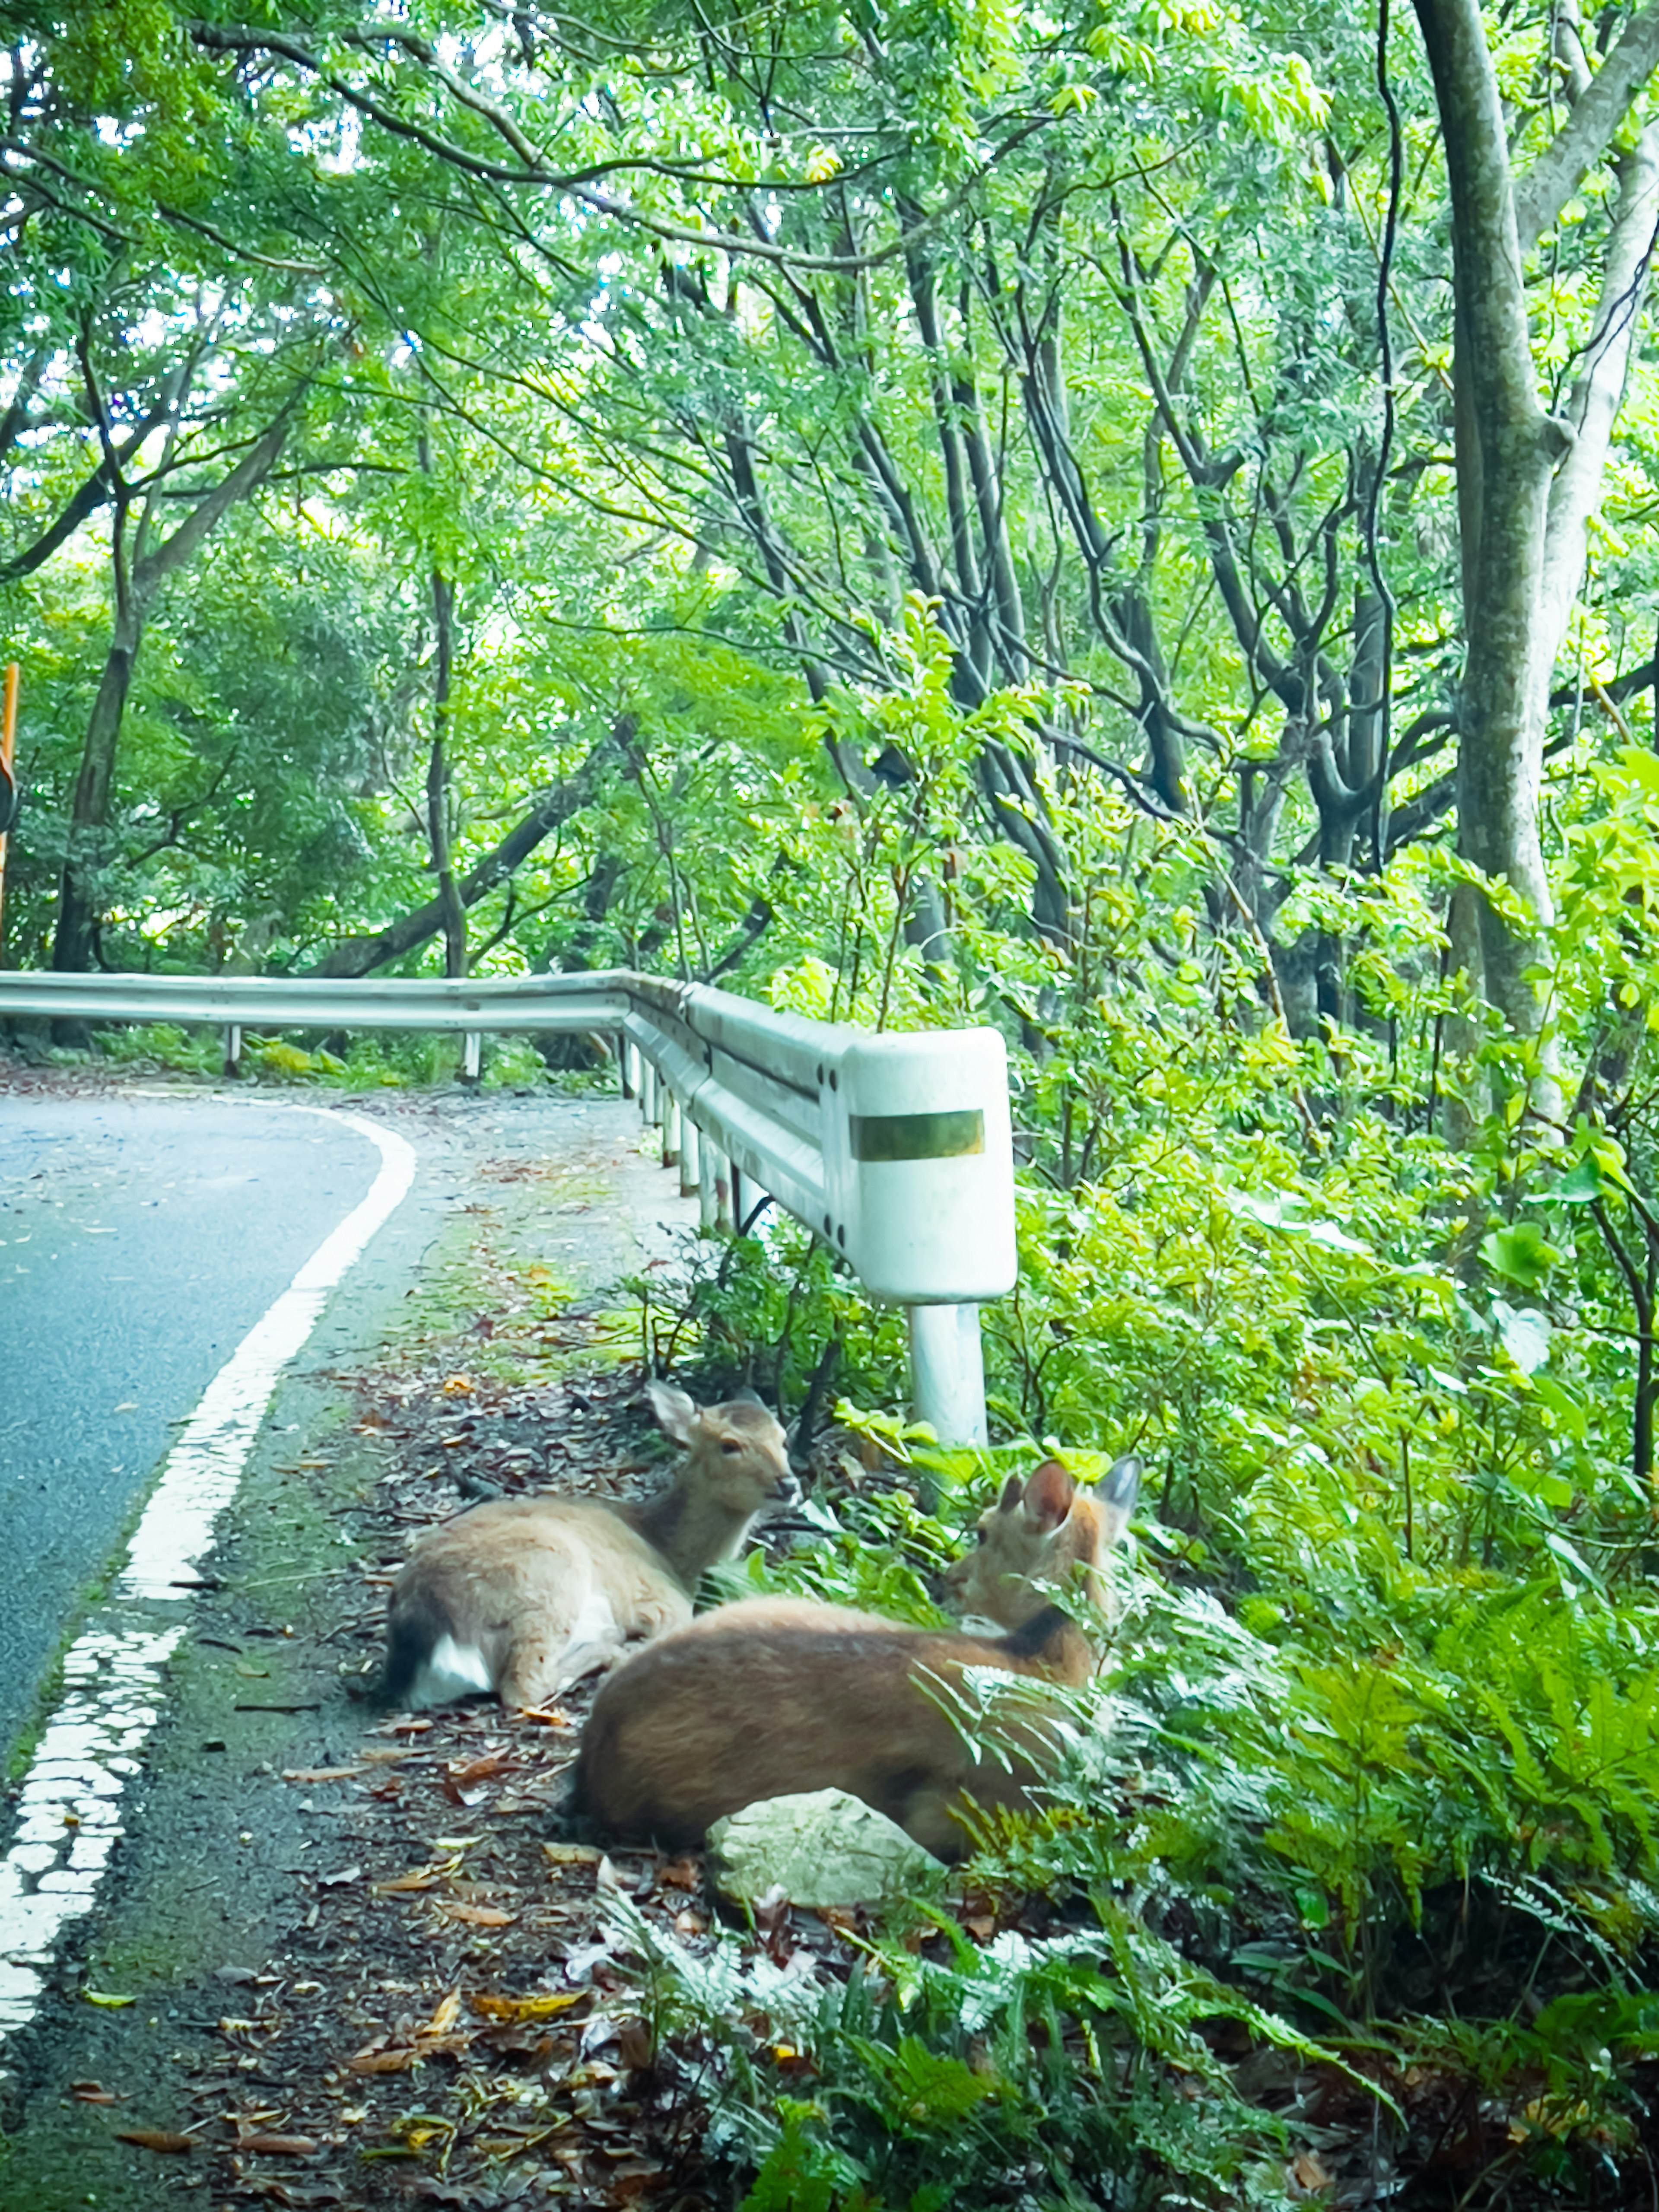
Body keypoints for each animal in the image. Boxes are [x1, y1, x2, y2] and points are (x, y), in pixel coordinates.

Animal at [380, 1380, 796, 1707]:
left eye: (783, 1438)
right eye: (729, 1445)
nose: (789, 1483)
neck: (671, 1553)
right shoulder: (658, 1599)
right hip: (549, 1572)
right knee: (523, 1686)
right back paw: (612, 1648)